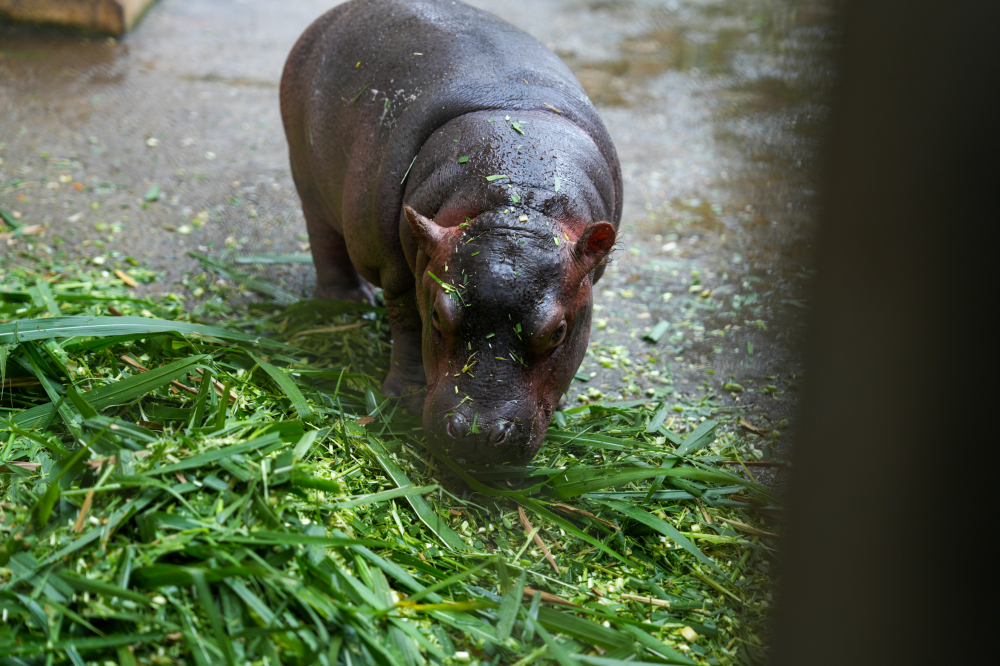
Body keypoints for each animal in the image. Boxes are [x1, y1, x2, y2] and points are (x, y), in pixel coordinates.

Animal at [282, 0, 620, 462]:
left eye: (558, 331)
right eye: (440, 315)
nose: (478, 435)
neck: (518, 198)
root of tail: (336, 13)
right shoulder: (402, 276)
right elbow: (408, 327)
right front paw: (404, 399)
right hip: (307, 175)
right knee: (324, 240)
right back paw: (347, 301)